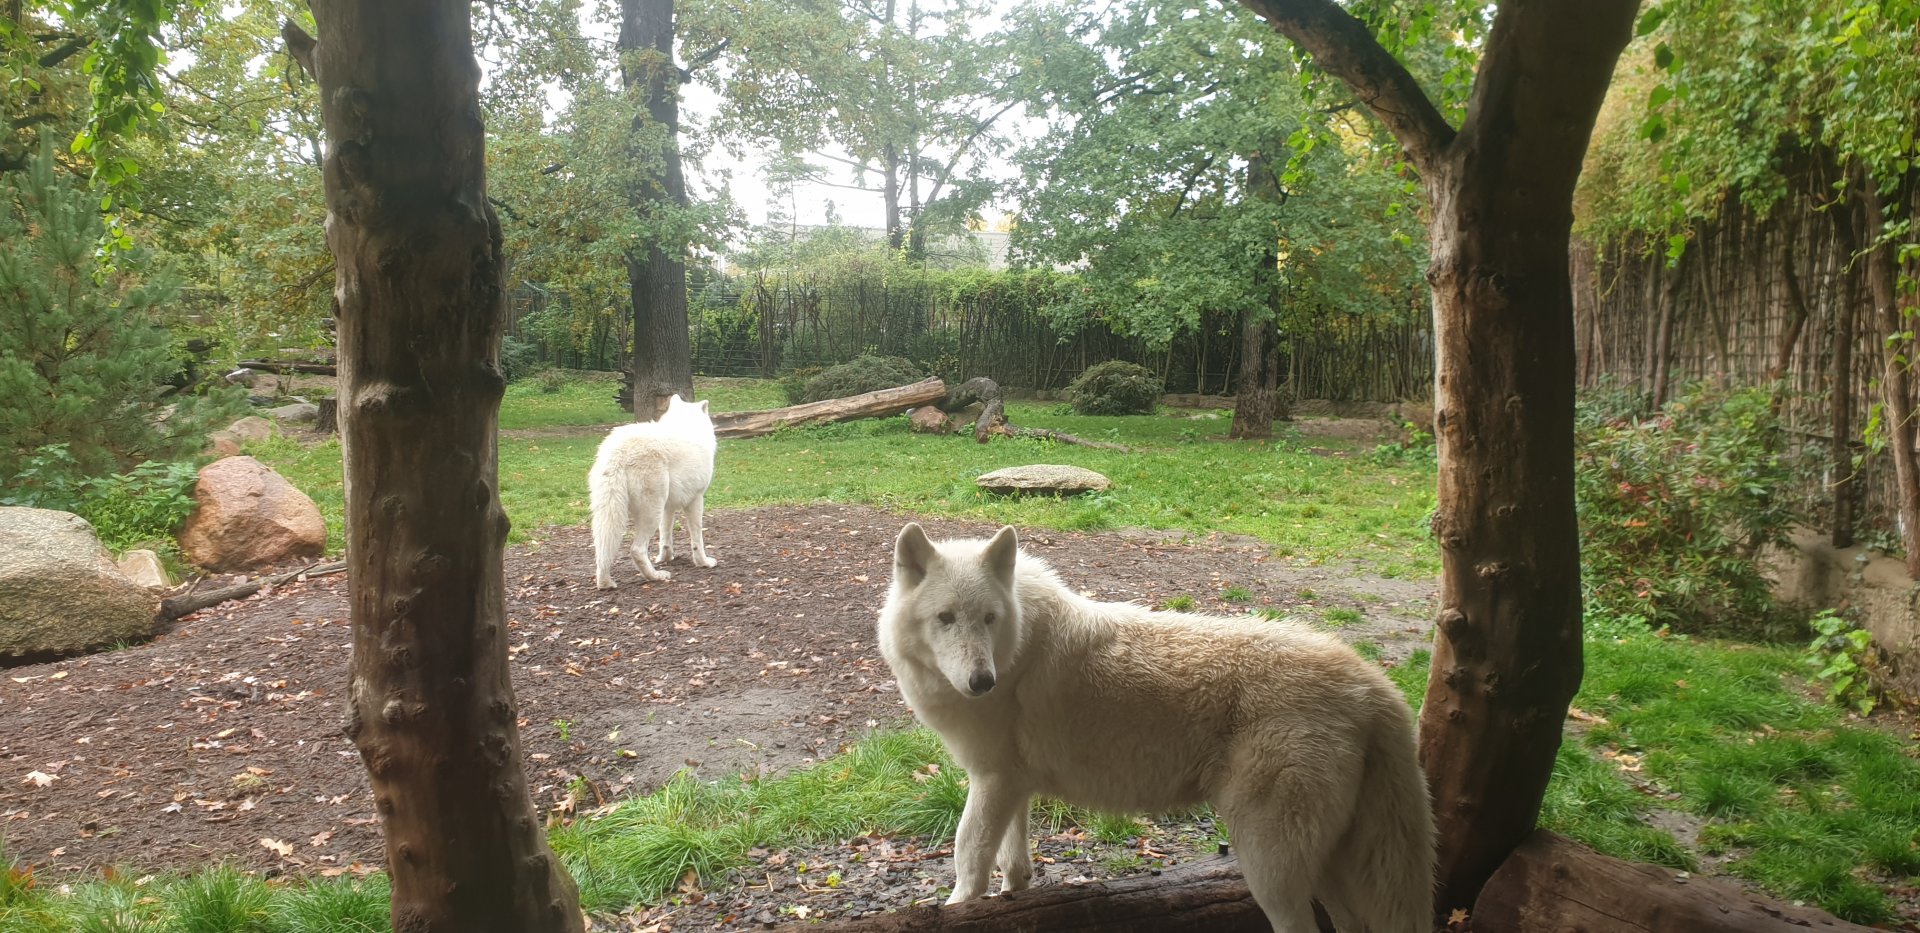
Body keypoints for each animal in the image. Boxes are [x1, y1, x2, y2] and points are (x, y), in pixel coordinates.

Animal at [588, 395, 718, 589]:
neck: (685, 424)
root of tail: (619, 452)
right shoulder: (696, 499)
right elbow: (697, 538)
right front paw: (703, 562)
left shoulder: (668, 507)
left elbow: (665, 536)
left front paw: (665, 558)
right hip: (650, 511)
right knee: (636, 549)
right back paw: (656, 576)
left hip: (610, 514)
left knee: (602, 552)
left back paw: (605, 583)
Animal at [877, 522, 1434, 932]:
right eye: (946, 618)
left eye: (989, 618)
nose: (982, 681)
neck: (1016, 650)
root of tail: (1371, 682)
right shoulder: (1011, 781)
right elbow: (1014, 860)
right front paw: (1011, 901)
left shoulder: (990, 780)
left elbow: (969, 853)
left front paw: (955, 910)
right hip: (1332, 869)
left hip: (1270, 867)